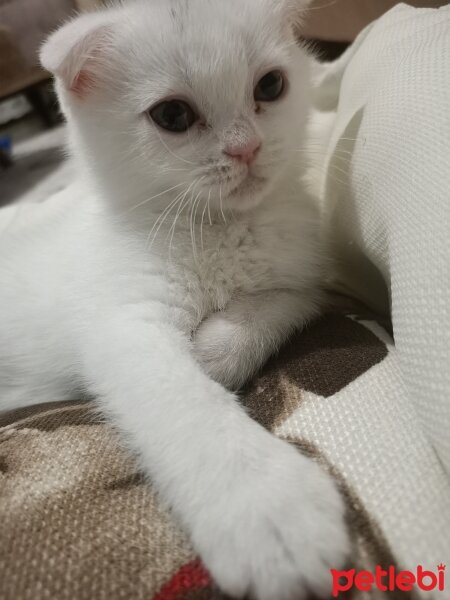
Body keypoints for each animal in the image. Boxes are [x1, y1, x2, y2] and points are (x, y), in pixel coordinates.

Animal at [0, 2, 350, 596]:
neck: (219, 227)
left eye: (271, 85)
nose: (246, 147)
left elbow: (281, 302)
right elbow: (185, 402)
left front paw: (216, 349)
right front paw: (269, 510)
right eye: (172, 116)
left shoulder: (308, 277)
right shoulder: (124, 325)